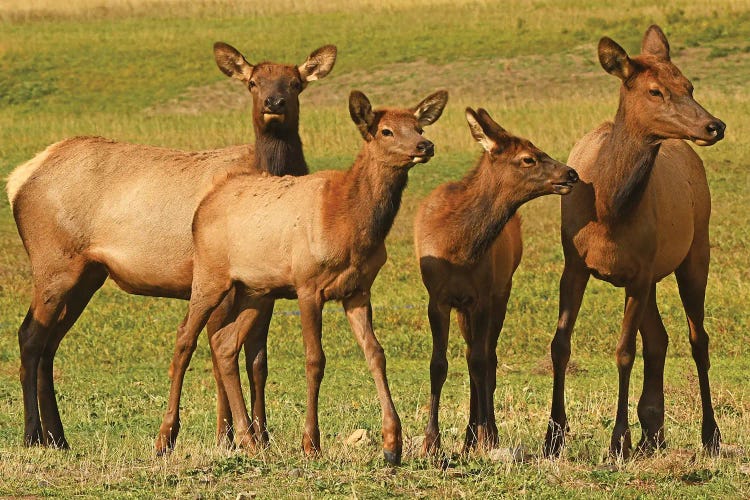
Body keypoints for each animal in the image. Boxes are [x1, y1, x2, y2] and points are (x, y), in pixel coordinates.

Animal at [8, 42, 338, 450]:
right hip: (53, 263)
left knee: (49, 344)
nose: (273, 102)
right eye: (252, 82)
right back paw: (32, 435)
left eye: (295, 83)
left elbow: (257, 360)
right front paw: (226, 436)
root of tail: (18, 178)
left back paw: (57, 436)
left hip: (88, 274)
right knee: (29, 336)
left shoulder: (266, 288)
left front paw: (261, 435)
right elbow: (220, 353)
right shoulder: (222, 282)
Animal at [156, 87, 450, 464]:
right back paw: (165, 438)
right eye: (386, 131)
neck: (349, 223)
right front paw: (310, 442)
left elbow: (375, 353)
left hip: (255, 289)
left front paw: (392, 443)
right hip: (210, 274)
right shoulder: (308, 284)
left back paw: (249, 439)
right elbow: (315, 359)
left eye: (419, 127)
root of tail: (202, 208)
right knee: (184, 338)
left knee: (223, 344)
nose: (425, 146)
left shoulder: (358, 289)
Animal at [414, 107, 580, 456]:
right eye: (528, 158)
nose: (571, 173)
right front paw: (431, 441)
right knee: (470, 354)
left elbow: (481, 362)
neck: (458, 247)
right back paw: (468, 436)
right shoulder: (438, 298)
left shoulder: (482, 296)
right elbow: (439, 364)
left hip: (501, 292)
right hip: (465, 307)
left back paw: (480, 432)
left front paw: (486, 435)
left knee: (486, 357)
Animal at [548, 25, 728, 458]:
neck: (609, 208)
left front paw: (618, 441)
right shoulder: (574, 265)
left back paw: (709, 435)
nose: (714, 125)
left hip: (694, 253)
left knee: (697, 339)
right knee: (660, 338)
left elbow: (624, 351)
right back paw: (653, 432)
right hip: (654, 275)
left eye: (689, 84)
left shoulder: (640, 274)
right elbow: (561, 344)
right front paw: (554, 436)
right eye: (654, 90)